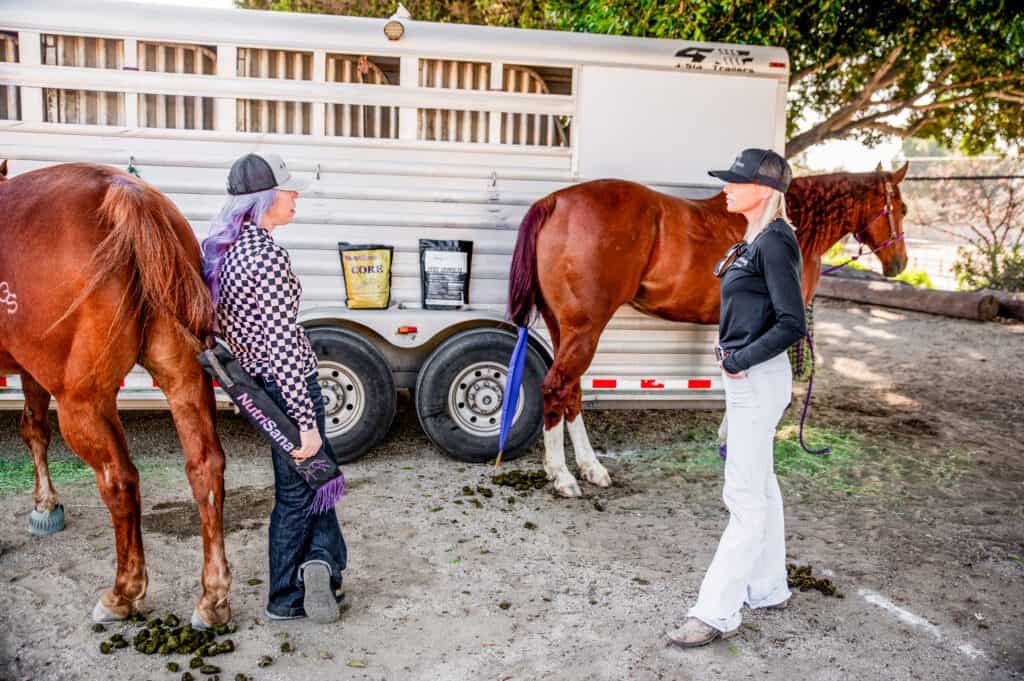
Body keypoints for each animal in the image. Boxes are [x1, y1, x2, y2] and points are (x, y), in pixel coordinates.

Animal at [0, 162, 232, 626]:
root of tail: (126, 194)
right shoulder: (32, 372)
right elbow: (33, 428)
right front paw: (45, 505)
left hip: (83, 401)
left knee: (119, 481)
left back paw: (122, 592)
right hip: (183, 375)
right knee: (205, 467)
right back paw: (212, 596)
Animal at [502, 163, 909, 497]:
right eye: (902, 209)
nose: (899, 263)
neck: (791, 225)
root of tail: (556, 201)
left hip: (564, 328)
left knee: (571, 392)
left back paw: (591, 467)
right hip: (584, 330)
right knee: (557, 388)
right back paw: (562, 474)